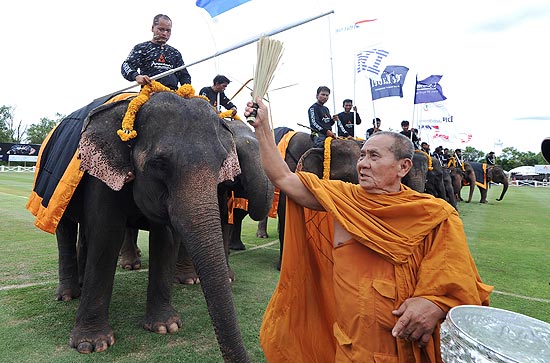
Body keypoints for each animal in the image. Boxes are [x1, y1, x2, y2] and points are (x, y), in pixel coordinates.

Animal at [41, 91, 252, 362]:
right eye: (159, 164)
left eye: (222, 164)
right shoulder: (102, 174)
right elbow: (106, 233)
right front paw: (92, 344)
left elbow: (165, 237)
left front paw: (166, 327)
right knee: (65, 228)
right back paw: (68, 294)